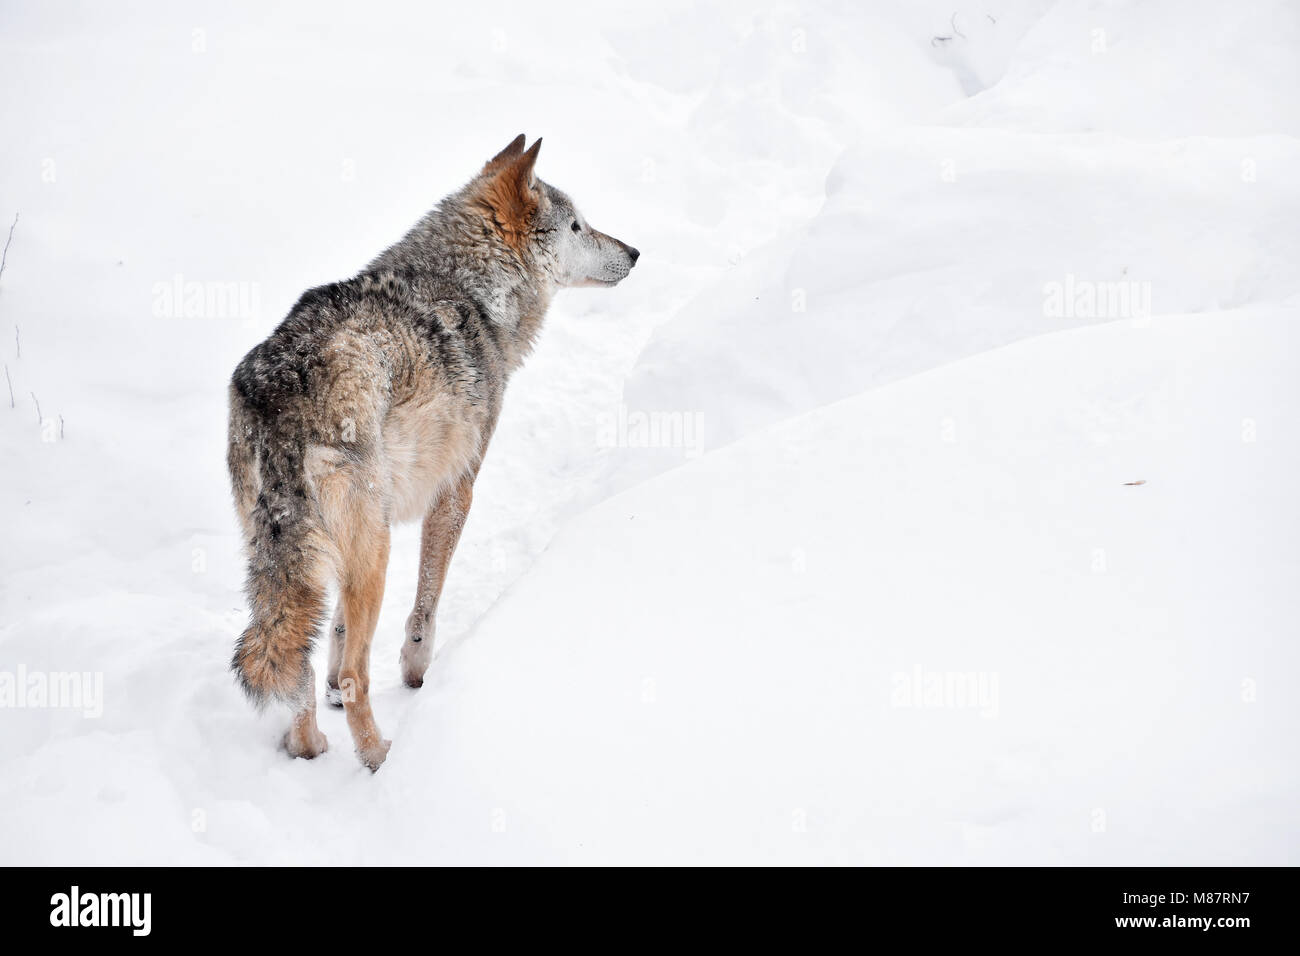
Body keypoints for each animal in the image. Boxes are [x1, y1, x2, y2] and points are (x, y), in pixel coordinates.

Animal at [230, 138, 644, 770]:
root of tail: (279, 388)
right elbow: (425, 606)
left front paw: (333, 695)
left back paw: (309, 747)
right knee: (356, 676)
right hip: (373, 551)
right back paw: (378, 757)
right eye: (578, 225)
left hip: (319, 554)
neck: (472, 288)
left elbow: (337, 635)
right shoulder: (457, 490)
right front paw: (417, 670)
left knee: (297, 663)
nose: (636, 251)